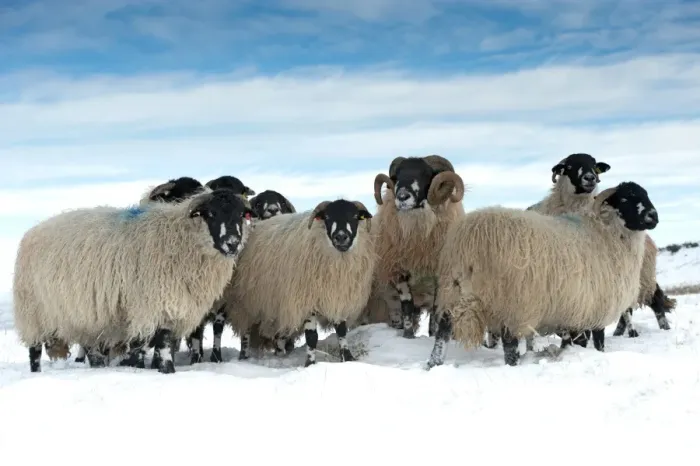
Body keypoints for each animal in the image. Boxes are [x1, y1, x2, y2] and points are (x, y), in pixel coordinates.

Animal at [13, 189, 254, 374]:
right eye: (211, 213)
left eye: (242, 214)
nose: (232, 243)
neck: (181, 238)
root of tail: (31, 232)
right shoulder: (153, 304)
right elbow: (160, 346)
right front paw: (166, 370)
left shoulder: (169, 306)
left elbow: (158, 345)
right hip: (33, 311)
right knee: (34, 351)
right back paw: (36, 373)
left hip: (85, 318)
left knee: (91, 350)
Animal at [222, 199, 376, 367]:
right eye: (327, 217)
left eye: (355, 216)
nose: (341, 237)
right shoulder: (307, 300)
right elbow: (312, 337)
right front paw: (310, 363)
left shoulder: (338, 297)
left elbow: (341, 332)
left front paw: (348, 358)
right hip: (245, 303)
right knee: (246, 332)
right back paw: (244, 356)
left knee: (280, 334)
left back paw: (280, 354)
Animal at [371, 155, 466, 338]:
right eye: (396, 176)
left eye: (426, 174)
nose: (402, 197)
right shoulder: (399, 272)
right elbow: (407, 307)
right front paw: (408, 337)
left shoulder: (439, 277)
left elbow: (436, 314)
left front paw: (433, 336)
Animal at [426, 181, 659, 369]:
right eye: (626, 198)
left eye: (645, 194)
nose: (653, 216)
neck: (607, 234)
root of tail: (470, 238)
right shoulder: (594, 309)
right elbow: (599, 343)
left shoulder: (575, 312)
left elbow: (574, 342)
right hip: (511, 302)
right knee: (510, 347)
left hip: (452, 290)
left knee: (442, 333)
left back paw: (434, 364)